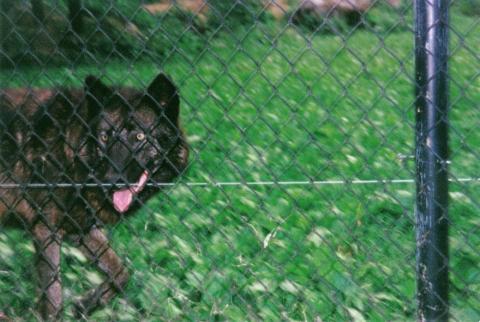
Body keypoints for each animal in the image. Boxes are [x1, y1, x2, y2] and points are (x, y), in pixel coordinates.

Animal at [0, 73, 189, 320]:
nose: (111, 180)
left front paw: (85, 305)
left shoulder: (81, 228)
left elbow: (122, 273)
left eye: (139, 136)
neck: (69, 150)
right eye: (104, 137)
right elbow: (53, 301)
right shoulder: (45, 230)